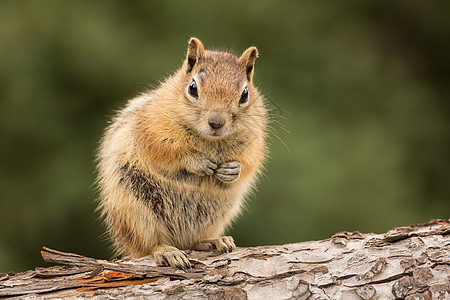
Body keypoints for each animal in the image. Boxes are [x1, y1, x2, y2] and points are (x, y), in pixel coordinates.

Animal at [97, 37, 268, 270]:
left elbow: (251, 160)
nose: (216, 123)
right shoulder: (153, 127)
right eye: (193, 88)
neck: (210, 141)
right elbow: (165, 150)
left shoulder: (255, 137)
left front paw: (233, 169)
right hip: (134, 210)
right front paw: (197, 162)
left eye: (245, 94)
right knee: (149, 244)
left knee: (193, 241)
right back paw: (167, 251)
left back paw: (213, 241)